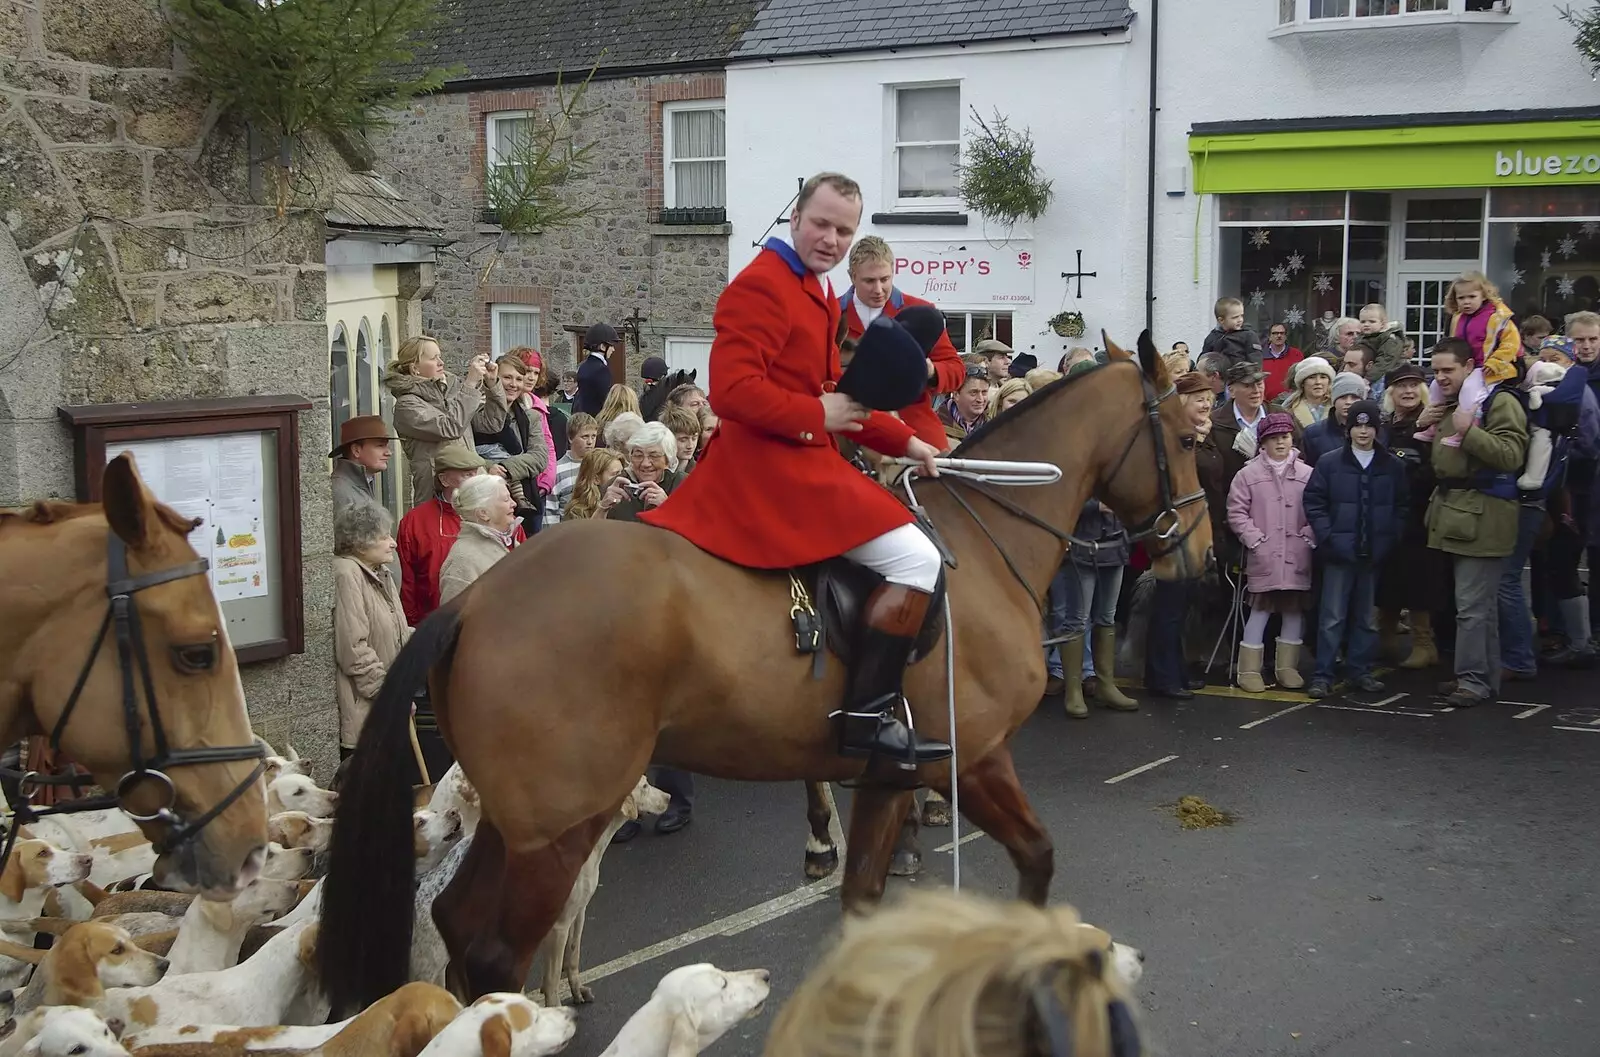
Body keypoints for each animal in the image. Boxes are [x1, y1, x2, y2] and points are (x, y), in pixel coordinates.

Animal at [318, 332, 1203, 1017]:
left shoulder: (888, 775)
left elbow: (864, 901)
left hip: (520, 820)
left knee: (459, 927)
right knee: (498, 950)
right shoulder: (975, 757)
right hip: (560, 828)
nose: (1193, 550)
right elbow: (1037, 855)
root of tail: (473, 603)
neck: (983, 545)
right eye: (1192, 437)